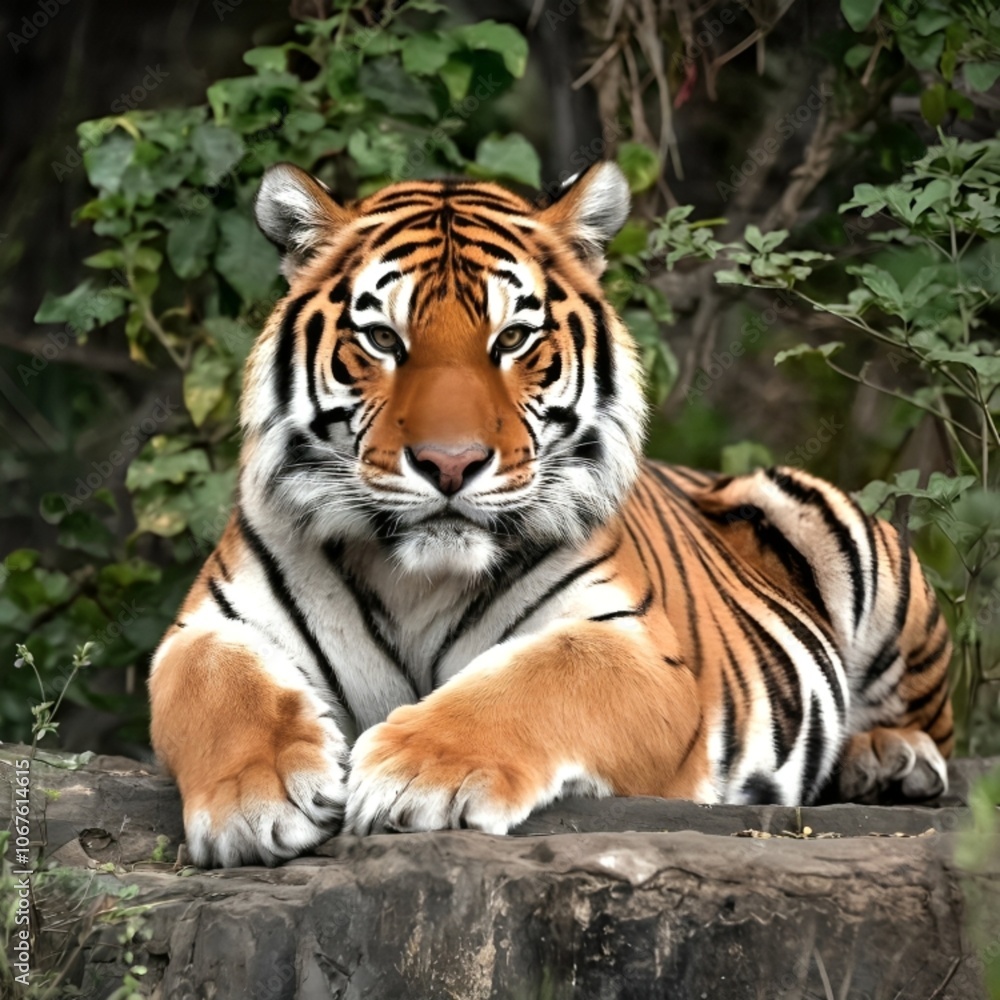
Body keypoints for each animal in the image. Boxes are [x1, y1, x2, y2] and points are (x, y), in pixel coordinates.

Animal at [148, 160, 954, 868]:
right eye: (382, 339)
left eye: (512, 339)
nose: (450, 463)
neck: (417, 579)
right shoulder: (210, 626)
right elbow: (217, 686)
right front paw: (257, 797)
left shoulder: (638, 647)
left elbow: (541, 678)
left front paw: (416, 775)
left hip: (850, 540)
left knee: (926, 723)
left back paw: (889, 759)